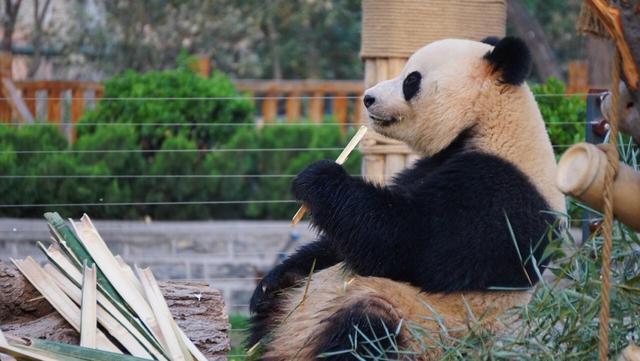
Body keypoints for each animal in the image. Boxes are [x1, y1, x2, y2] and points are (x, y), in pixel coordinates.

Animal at [248, 35, 564, 358]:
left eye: (411, 80)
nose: (368, 98)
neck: (489, 123)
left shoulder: (497, 194)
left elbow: (407, 241)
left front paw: (318, 176)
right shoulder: (430, 166)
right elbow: (342, 242)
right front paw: (273, 279)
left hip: (418, 325)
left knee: (363, 331)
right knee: (276, 313)